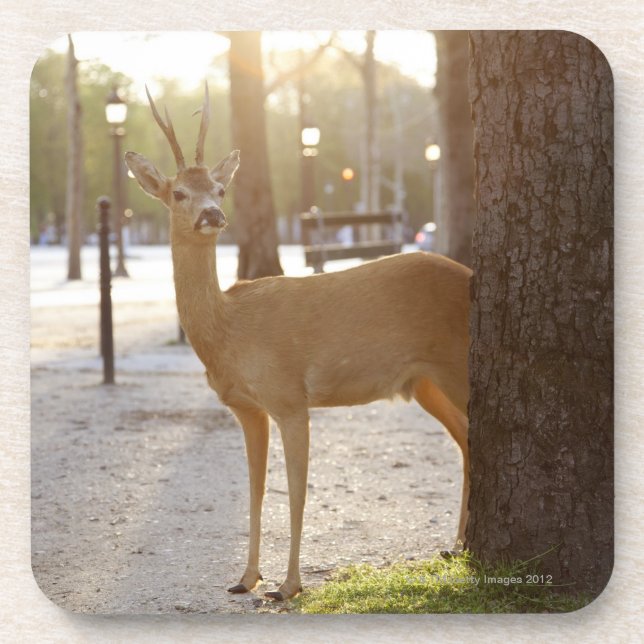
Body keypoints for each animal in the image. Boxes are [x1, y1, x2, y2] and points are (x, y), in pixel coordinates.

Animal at [125, 84, 471, 601]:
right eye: (178, 192)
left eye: (220, 189)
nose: (213, 214)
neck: (229, 332)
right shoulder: (247, 407)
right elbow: (255, 487)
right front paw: (245, 579)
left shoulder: (289, 395)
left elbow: (296, 490)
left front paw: (287, 585)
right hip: (427, 382)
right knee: (468, 439)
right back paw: (457, 546)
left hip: (458, 366)